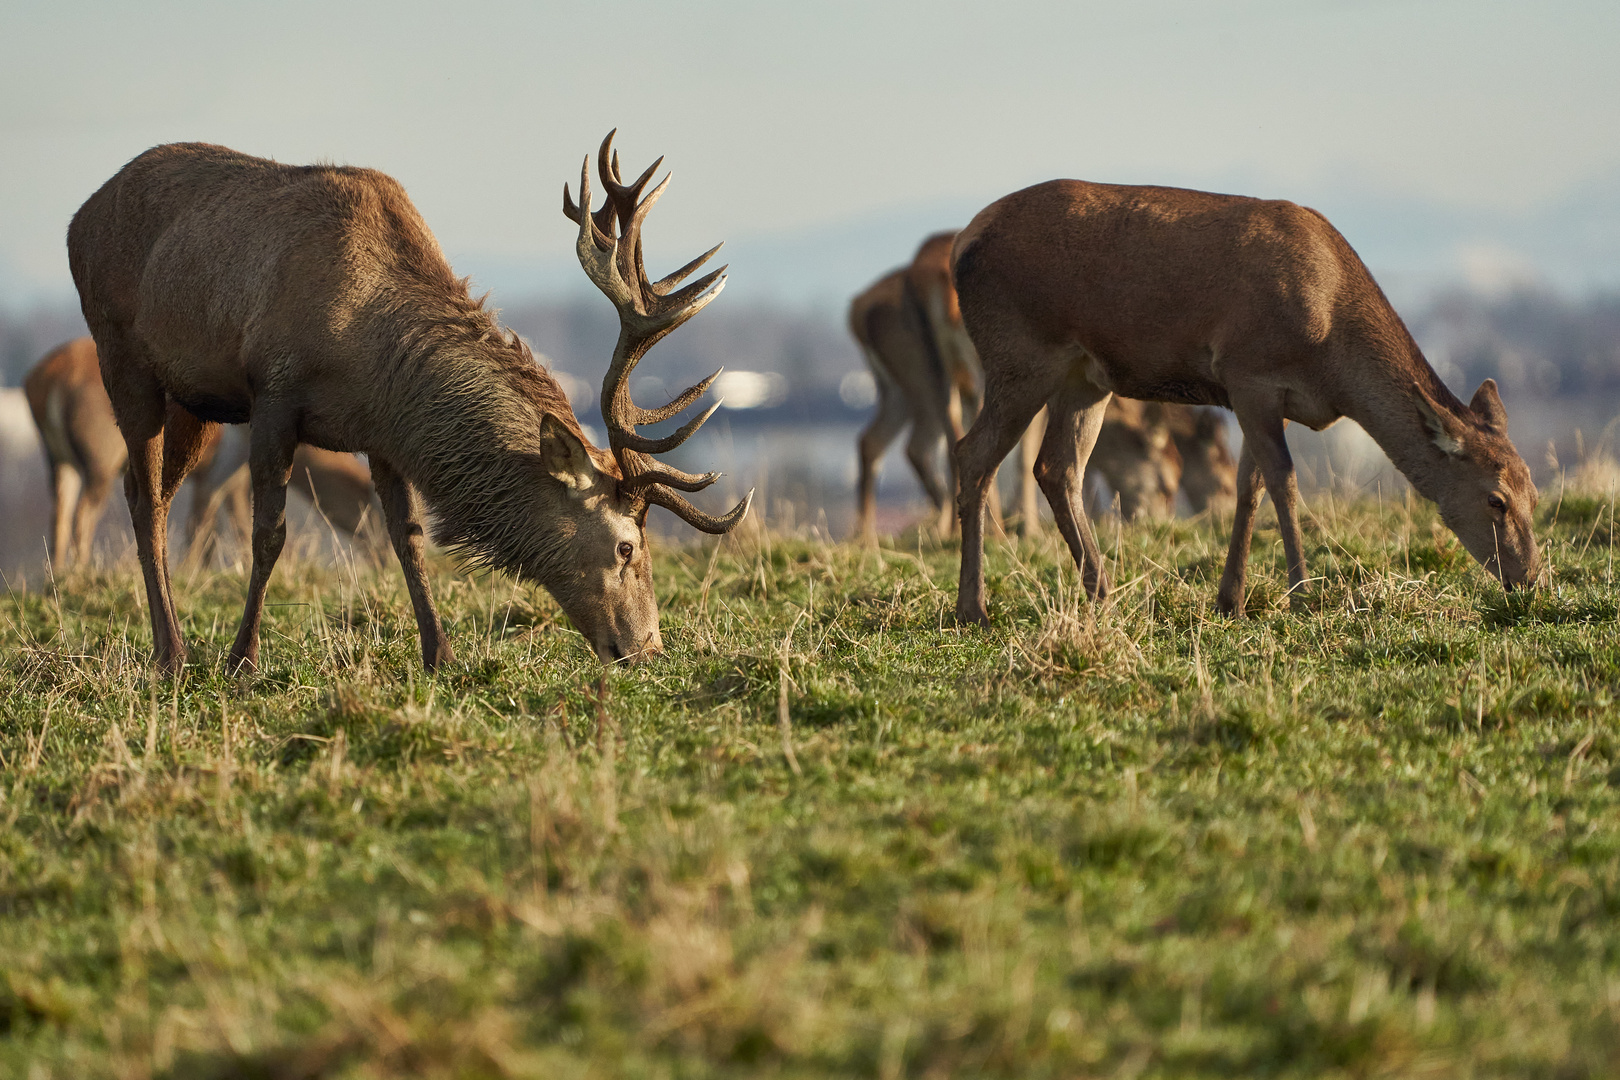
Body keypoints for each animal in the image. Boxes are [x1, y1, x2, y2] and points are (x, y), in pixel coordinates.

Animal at [64, 132, 745, 676]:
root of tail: (79, 217)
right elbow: (269, 534)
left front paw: (440, 655)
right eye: (627, 545)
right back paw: (172, 653)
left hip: (195, 404)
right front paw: (242, 659)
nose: (649, 648)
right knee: (143, 498)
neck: (367, 349)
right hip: (121, 356)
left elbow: (408, 537)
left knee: (153, 489)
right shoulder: (274, 393)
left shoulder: (382, 434)